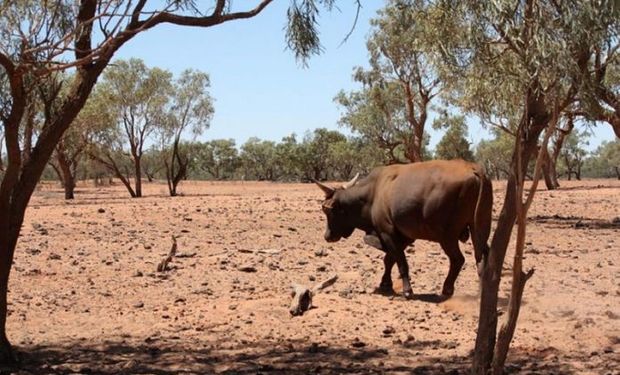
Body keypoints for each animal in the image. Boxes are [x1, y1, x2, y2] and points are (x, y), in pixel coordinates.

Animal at [318, 160, 492, 302]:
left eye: (328, 211)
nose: (327, 236)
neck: (373, 192)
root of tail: (473, 168)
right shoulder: (403, 237)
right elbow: (389, 259)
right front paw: (385, 283)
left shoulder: (388, 233)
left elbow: (401, 263)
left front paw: (407, 290)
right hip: (479, 230)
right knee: (484, 258)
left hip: (447, 237)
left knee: (458, 260)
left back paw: (447, 290)